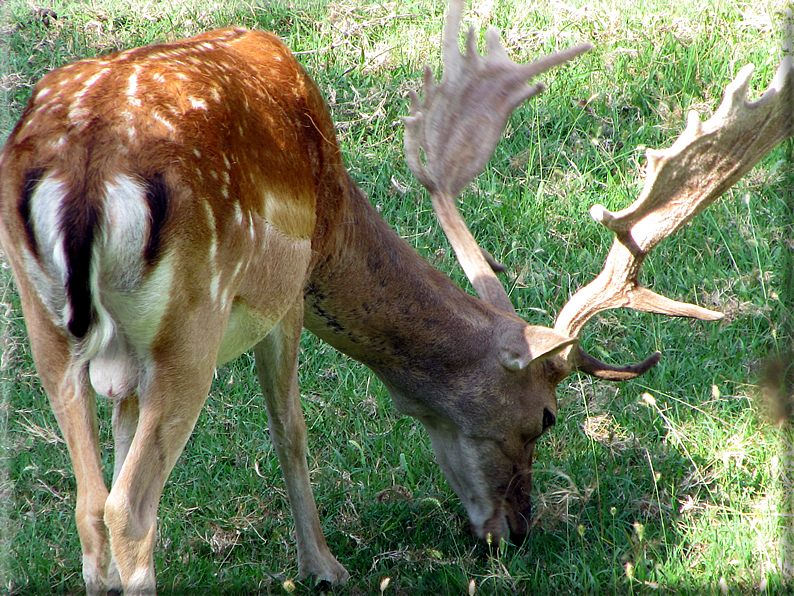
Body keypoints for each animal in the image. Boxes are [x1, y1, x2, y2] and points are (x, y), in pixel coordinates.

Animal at [1, 0, 792, 592]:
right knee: (128, 510)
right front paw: (324, 568)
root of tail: (86, 170)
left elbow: (124, 443)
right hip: (193, 320)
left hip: (49, 325)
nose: (517, 530)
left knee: (91, 506)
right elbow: (290, 430)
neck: (335, 209)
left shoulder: (129, 365)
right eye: (546, 417)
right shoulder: (286, 297)